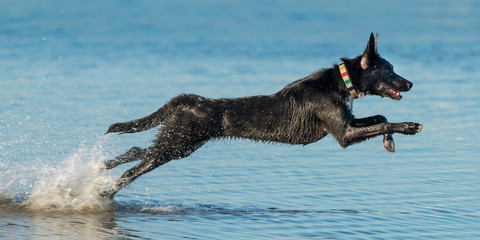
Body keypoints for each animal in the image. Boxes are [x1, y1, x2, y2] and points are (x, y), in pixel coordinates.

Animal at [100, 33, 420, 199]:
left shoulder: (349, 124)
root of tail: (191, 100)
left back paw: (104, 166)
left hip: (181, 144)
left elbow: (380, 117)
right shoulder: (344, 134)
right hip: (177, 143)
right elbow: (386, 120)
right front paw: (408, 126)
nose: (410, 83)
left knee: (137, 149)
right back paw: (105, 192)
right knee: (133, 169)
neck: (342, 82)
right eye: (389, 70)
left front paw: (389, 140)